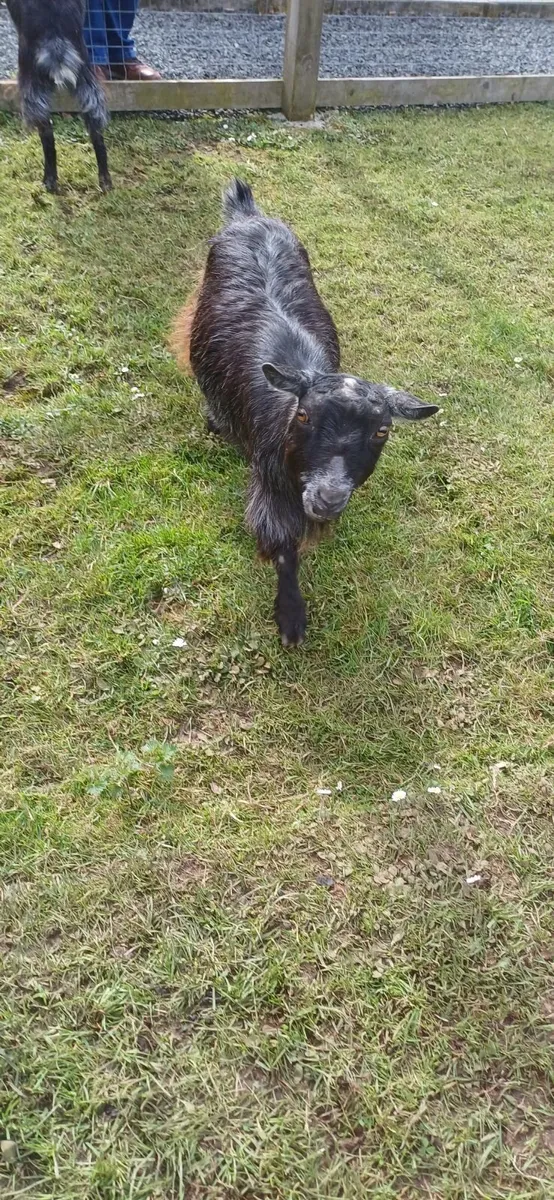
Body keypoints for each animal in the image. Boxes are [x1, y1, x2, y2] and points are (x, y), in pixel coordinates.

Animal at [6, 0, 112, 193]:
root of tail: (54, 36)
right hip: (87, 83)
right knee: (96, 133)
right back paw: (105, 180)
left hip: (32, 89)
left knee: (47, 136)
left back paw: (50, 180)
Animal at [171, 179, 439, 646]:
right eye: (304, 417)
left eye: (382, 431)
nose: (328, 498)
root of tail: (249, 215)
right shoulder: (269, 483)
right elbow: (282, 547)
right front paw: (291, 617)